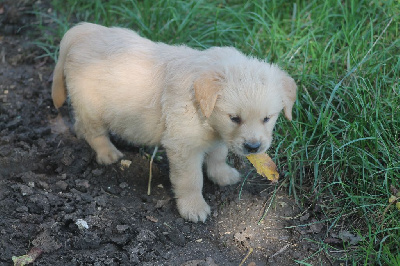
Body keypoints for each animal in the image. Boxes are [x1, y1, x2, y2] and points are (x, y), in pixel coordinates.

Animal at [52, 22, 296, 222]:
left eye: (267, 118)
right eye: (234, 118)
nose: (253, 147)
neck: (203, 109)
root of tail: (83, 31)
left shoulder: (220, 137)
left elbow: (217, 156)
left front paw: (223, 175)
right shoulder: (183, 146)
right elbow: (191, 180)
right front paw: (193, 208)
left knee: (81, 124)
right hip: (91, 106)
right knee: (95, 133)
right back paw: (108, 154)